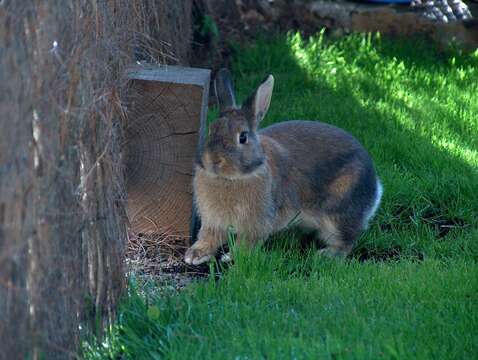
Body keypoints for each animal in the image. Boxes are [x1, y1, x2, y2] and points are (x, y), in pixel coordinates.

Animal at [185, 68, 382, 264]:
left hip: (338, 214)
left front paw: (231, 257)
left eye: (243, 137)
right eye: (211, 129)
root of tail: (376, 186)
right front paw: (194, 255)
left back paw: (327, 254)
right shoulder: (213, 221)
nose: (213, 160)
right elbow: (209, 237)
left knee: (346, 240)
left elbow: (246, 243)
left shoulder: (257, 223)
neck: (232, 178)